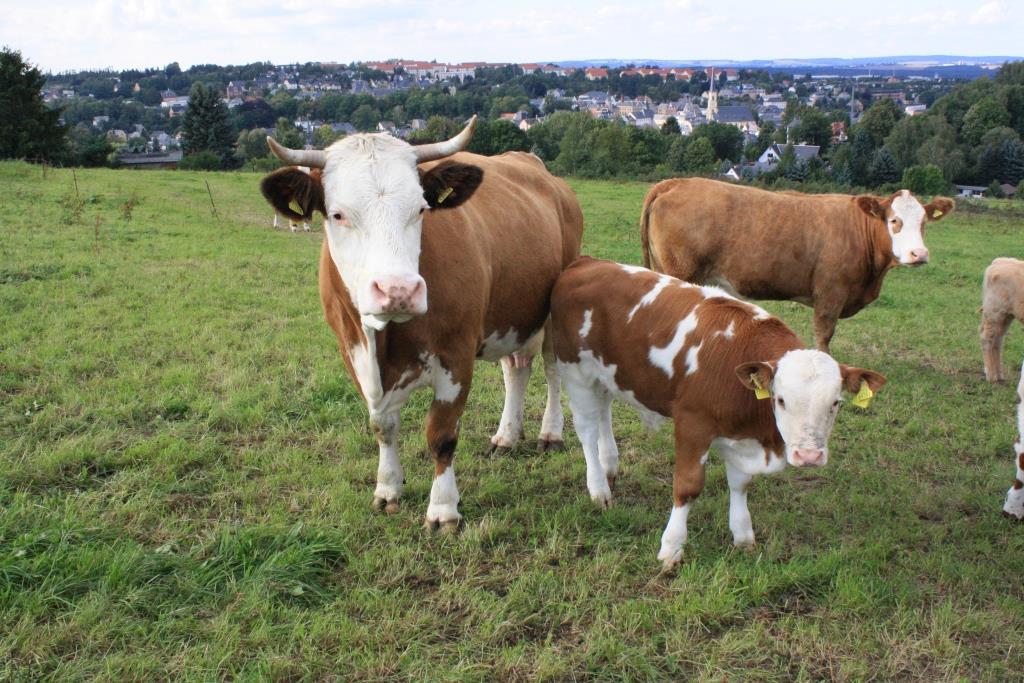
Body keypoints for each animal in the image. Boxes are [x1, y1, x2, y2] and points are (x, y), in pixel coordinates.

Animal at [260, 118, 585, 528]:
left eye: (420, 209)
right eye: (337, 214)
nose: (398, 289)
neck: (384, 342)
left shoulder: (457, 356)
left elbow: (441, 435)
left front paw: (443, 509)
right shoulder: (353, 352)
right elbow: (383, 427)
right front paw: (387, 489)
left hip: (555, 307)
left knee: (553, 369)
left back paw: (551, 434)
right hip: (510, 314)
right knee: (516, 370)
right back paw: (506, 437)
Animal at [552, 259, 888, 569]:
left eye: (836, 403)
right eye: (780, 400)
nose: (809, 457)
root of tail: (588, 262)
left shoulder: (741, 436)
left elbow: (740, 483)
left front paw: (743, 535)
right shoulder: (692, 423)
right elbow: (688, 486)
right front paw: (671, 547)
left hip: (607, 374)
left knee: (603, 412)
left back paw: (609, 464)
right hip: (575, 371)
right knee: (586, 429)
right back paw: (599, 488)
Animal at [634, 179, 954, 352]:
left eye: (924, 222)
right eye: (894, 220)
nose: (918, 253)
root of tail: (677, 182)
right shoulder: (830, 295)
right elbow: (824, 336)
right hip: (681, 270)